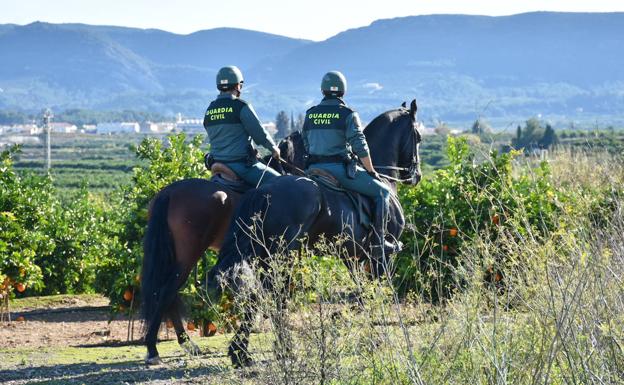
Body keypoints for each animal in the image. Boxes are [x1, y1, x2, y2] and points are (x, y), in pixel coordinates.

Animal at [207, 99, 422, 366]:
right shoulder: (383, 256)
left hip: (263, 254)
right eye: (418, 137)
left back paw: (242, 352)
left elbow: (363, 290)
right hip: (280, 255)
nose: (416, 176)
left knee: (259, 295)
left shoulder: (352, 256)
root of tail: (264, 190)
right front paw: (365, 331)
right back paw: (275, 349)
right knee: (271, 293)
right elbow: (374, 293)